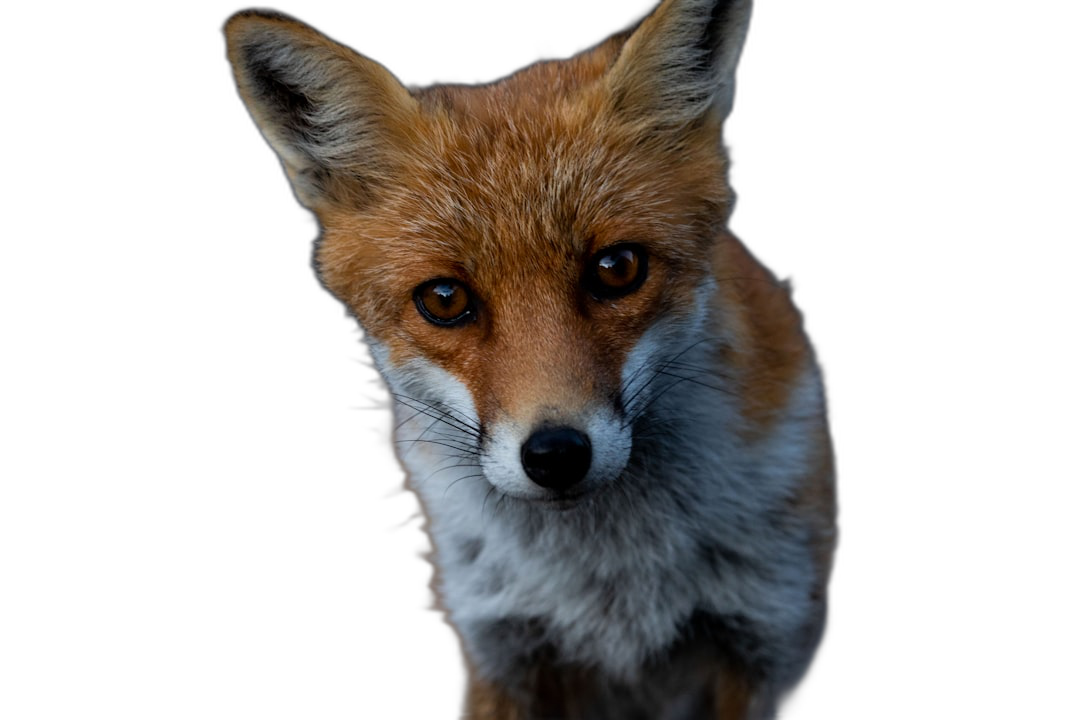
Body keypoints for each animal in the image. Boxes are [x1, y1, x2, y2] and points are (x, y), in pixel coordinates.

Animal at [225, 0, 833, 716]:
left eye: (618, 268)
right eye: (444, 299)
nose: (556, 456)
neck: (610, 584)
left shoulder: (767, 639)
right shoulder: (501, 647)